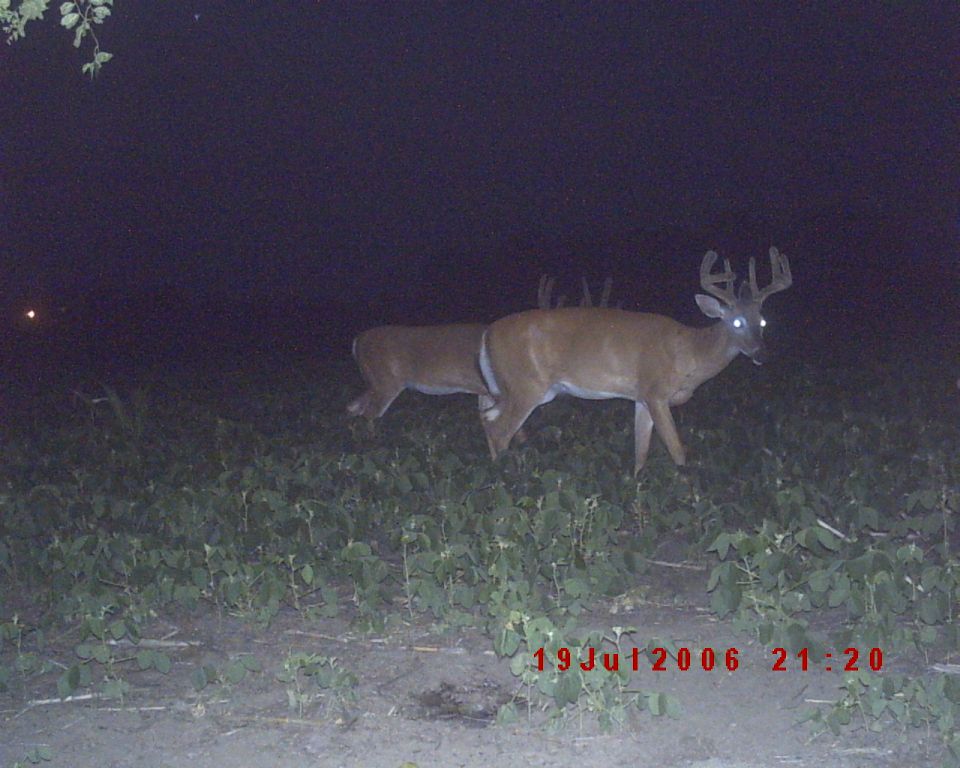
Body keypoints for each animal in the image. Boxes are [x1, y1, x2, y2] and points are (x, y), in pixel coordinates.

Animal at [479, 247, 793, 474]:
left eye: (762, 321)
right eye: (737, 322)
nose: (762, 354)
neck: (690, 352)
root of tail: (487, 335)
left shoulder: (641, 398)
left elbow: (640, 454)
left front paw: (637, 487)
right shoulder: (656, 392)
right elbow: (678, 451)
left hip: (519, 389)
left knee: (487, 418)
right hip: (527, 386)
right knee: (499, 430)